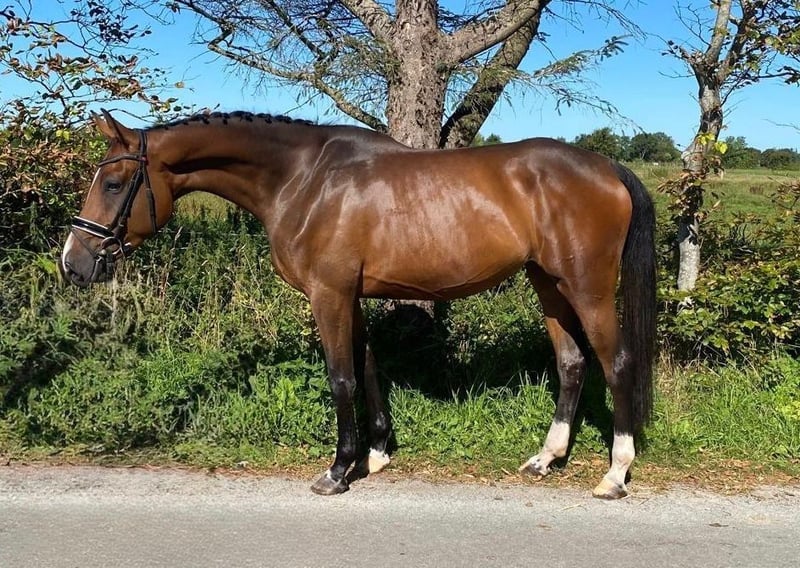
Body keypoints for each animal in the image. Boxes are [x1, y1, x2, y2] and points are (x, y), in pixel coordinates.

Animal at [60, 109, 656, 499]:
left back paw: (614, 474)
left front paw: (337, 470)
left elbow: (341, 377)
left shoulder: (328, 294)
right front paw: (376, 453)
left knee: (616, 363)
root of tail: (607, 168)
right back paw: (545, 458)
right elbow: (368, 367)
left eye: (114, 183)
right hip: (547, 285)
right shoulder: (351, 295)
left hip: (587, 287)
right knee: (572, 363)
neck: (303, 180)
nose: (73, 263)